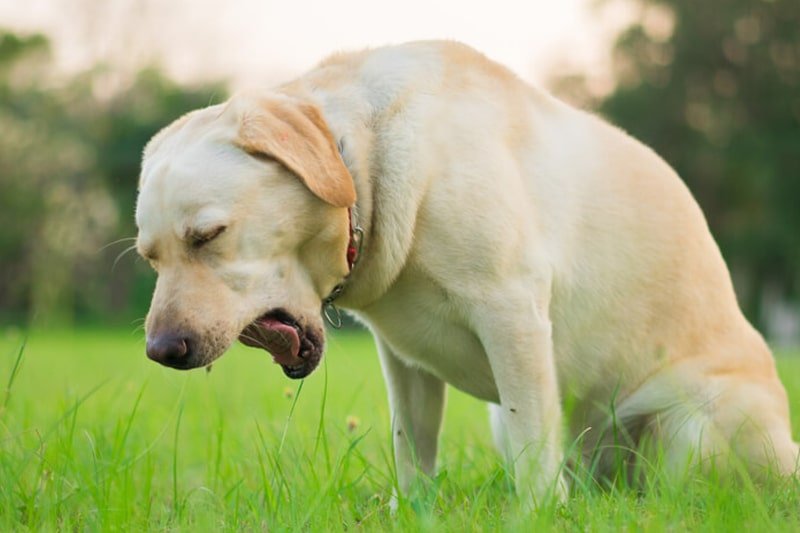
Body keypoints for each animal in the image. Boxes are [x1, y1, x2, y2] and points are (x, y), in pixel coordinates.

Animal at [136, 40, 792, 498]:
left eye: (208, 236)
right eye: (150, 257)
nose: (162, 351)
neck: (367, 167)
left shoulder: (513, 315)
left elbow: (533, 452)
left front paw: (536, 515)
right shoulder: (401, 360)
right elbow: (413, 448)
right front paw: (413, 510)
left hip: (693, 429)